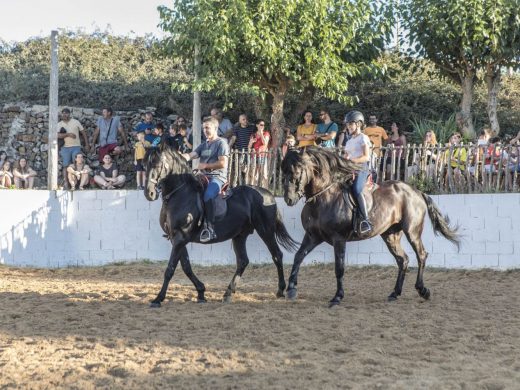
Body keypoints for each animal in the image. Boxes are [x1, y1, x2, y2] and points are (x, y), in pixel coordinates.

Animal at [143, 143, 296, 308]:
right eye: (145, 165)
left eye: (157, 164)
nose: (149, 193)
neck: (180, 194)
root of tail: (268, 194)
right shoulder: (176, 238)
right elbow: (186, 266)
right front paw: (201, 292)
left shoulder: (180, 237)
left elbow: (170, 268)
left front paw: (158, 299)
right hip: (239, 235)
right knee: (243, 261)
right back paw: (228, 293)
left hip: (265, 231)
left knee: (276, 255)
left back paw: (280, 290)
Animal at [280, 148, 460, 306]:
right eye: (284, 172)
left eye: (297, 172)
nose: (289, 199)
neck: (323, 197)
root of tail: (417, 192)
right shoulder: (313, 236)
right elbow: (298, 256)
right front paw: (291, 289)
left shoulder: (339, 239)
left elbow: (339, 268)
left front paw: (337, 297)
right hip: (390, 235)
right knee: (402, 259)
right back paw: (395, 293)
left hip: (412, 231)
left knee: (421, 255)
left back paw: (423, 290)